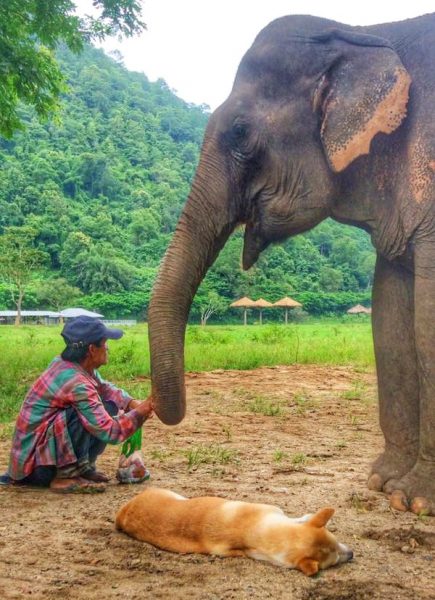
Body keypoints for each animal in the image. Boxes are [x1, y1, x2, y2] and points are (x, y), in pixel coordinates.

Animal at [114, 486, 352, 576]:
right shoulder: (274, 512)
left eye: (337, 543)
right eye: (335, 560)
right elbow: (298, 518)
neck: (254, 533)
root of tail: (123, 513)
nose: (352, 554)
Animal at [148, 11, 435, 512]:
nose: (146, 409)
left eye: (240, 133)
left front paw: (417, 502)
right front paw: (384, 486)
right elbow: (390, 319)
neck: (369, 33)